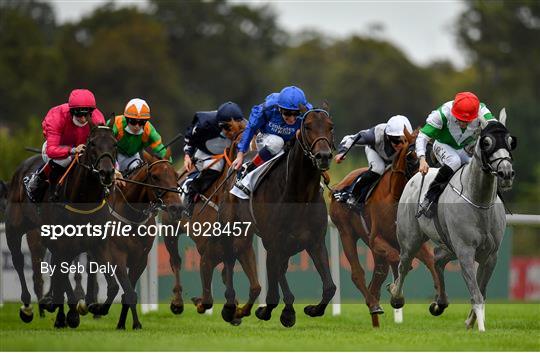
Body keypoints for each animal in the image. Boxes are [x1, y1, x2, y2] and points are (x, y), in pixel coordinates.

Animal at [5, 123, 117, 328]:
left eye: (115, 144)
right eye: (92, 143)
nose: (107, 173)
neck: (82, 198)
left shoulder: (97, 243)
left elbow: (112, 286)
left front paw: (95, 307)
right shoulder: (62, 243)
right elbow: (61, 273)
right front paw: (72, 312)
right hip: (13, 229)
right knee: (18, 261)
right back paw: (28, 307)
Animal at [218, 102, 334, 328]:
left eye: (330, 126)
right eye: (307, 126)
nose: (323, 156)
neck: (299, 195)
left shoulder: (315, 241)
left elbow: (329, 288)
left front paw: (312, 309)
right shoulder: (273, 241)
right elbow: (277, 291)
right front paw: (276, 312)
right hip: (233, 229)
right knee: (229, 258)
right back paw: (230, 308)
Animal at [326, 128, 440, 326]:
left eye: (432, 156)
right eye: (411, 156)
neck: (395, 198)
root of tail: (338, 187)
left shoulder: (414, 241)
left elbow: (429, 261)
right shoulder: (376, 239)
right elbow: (398, 260)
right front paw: (396, 293)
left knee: (377, 280)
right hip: (346, 232)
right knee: (358, 273)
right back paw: (374, 305)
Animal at [388, 109, 516, 330]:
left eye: (509, 141)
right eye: (486, 142)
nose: (506, 173)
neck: (479, 201)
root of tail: (415, 176)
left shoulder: (490, 255)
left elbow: (481, 291)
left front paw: (471, 321)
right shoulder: (465, 250)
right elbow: (476, 294)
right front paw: (481, 328)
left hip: (448, 244)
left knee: (437, 259)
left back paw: (440, 302)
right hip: (411, 238)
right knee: (404, 265)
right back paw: (396, 296)